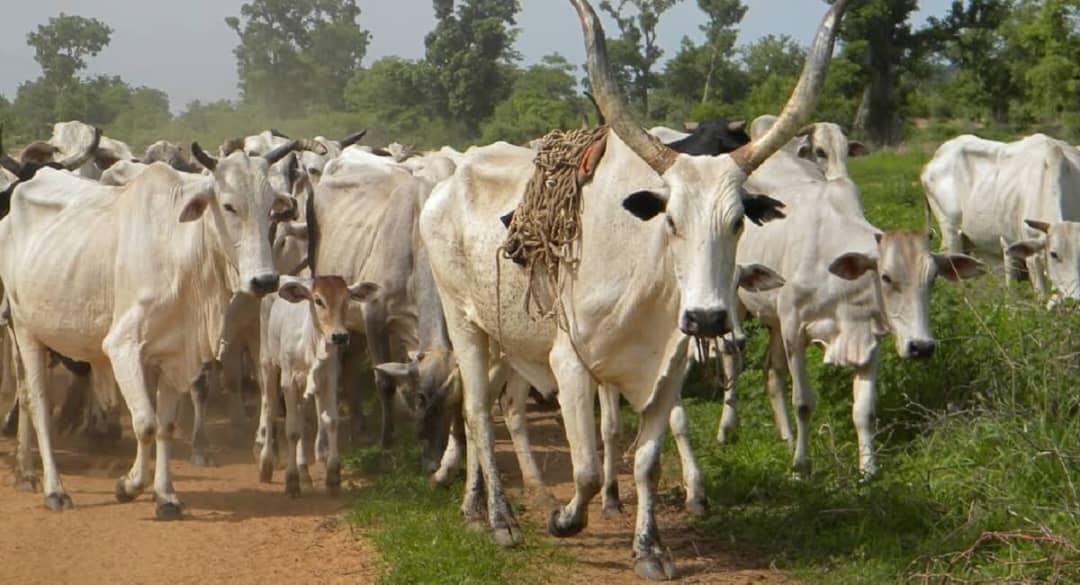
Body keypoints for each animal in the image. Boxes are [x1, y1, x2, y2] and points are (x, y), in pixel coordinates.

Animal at [0, 139, 304, 517]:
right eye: (229, 205)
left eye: (270, 209)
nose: (265, 281)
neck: (180, 252)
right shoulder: (122, 347)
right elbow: (144, 423)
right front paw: (129, 486)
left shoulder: (176, 355)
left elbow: (165, 426)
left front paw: (165, 496)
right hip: (25, 331)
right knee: (38, 404)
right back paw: (53, 488)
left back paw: (28, 472)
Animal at [259, 275, 379, 497]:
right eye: (318, 300)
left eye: (347, 299)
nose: (340, 336)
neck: (311, 345)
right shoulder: (288, 382)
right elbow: (291, 430)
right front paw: (291, 481)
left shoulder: (329, 378)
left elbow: (330, 421)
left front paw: (333, 477)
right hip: (268, 364)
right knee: (270, 410)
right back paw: (266, 463)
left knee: (303, 421)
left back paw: (304, 471)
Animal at [419, 0, 848, 579]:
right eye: (670, 220)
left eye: (738, 221)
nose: (708, 319)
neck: (647, 285)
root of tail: (446, 183)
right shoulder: (570, 364)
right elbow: (585, 468)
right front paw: (566, 520)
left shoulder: (667, 369)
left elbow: (645, 460)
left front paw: (650, 548)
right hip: (463, 320)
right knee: (478, 413)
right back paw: (500, 518)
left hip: (508, 338)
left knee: (491, 404)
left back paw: (484, 502)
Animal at [922, 134, 1080, 304]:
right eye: (1053, 254)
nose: (1075, 299)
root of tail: (938, 155)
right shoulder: (1031, 256)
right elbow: (1040, 295)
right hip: (950, 232)